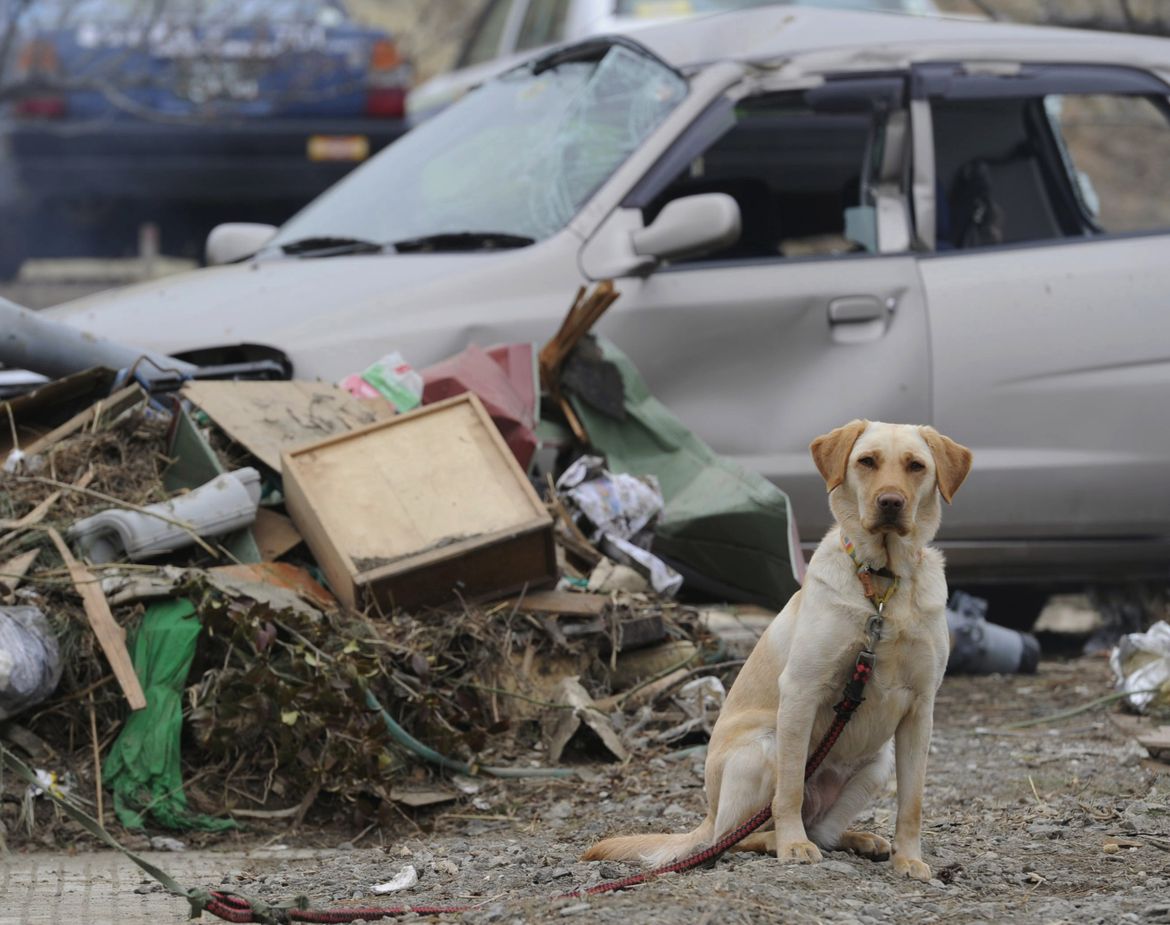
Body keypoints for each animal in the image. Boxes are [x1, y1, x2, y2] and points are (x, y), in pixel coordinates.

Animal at [580, 418, 973, 884]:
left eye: (916, 466)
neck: (882, 586)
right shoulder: (802, 691)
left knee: (821, 829)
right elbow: (788, 793)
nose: (891, 502)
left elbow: (911, 802)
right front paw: (792, 845)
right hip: (764, 747)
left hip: (877, 765)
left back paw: (860, 839)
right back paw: (776, 840)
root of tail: (709, 814)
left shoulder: (920, 709)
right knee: (732, 837)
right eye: (867, 461)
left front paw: (908, 858)